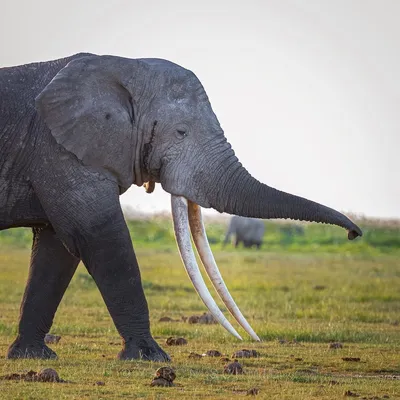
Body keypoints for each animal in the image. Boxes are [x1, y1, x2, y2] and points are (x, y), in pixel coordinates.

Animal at [0, 51, 362, 360]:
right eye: (181, 131)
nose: (354, 234)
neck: (122, 65)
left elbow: (56, 250)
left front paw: (33, 356)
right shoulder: (58, 152)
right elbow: (99, 236)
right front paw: (150, 357)